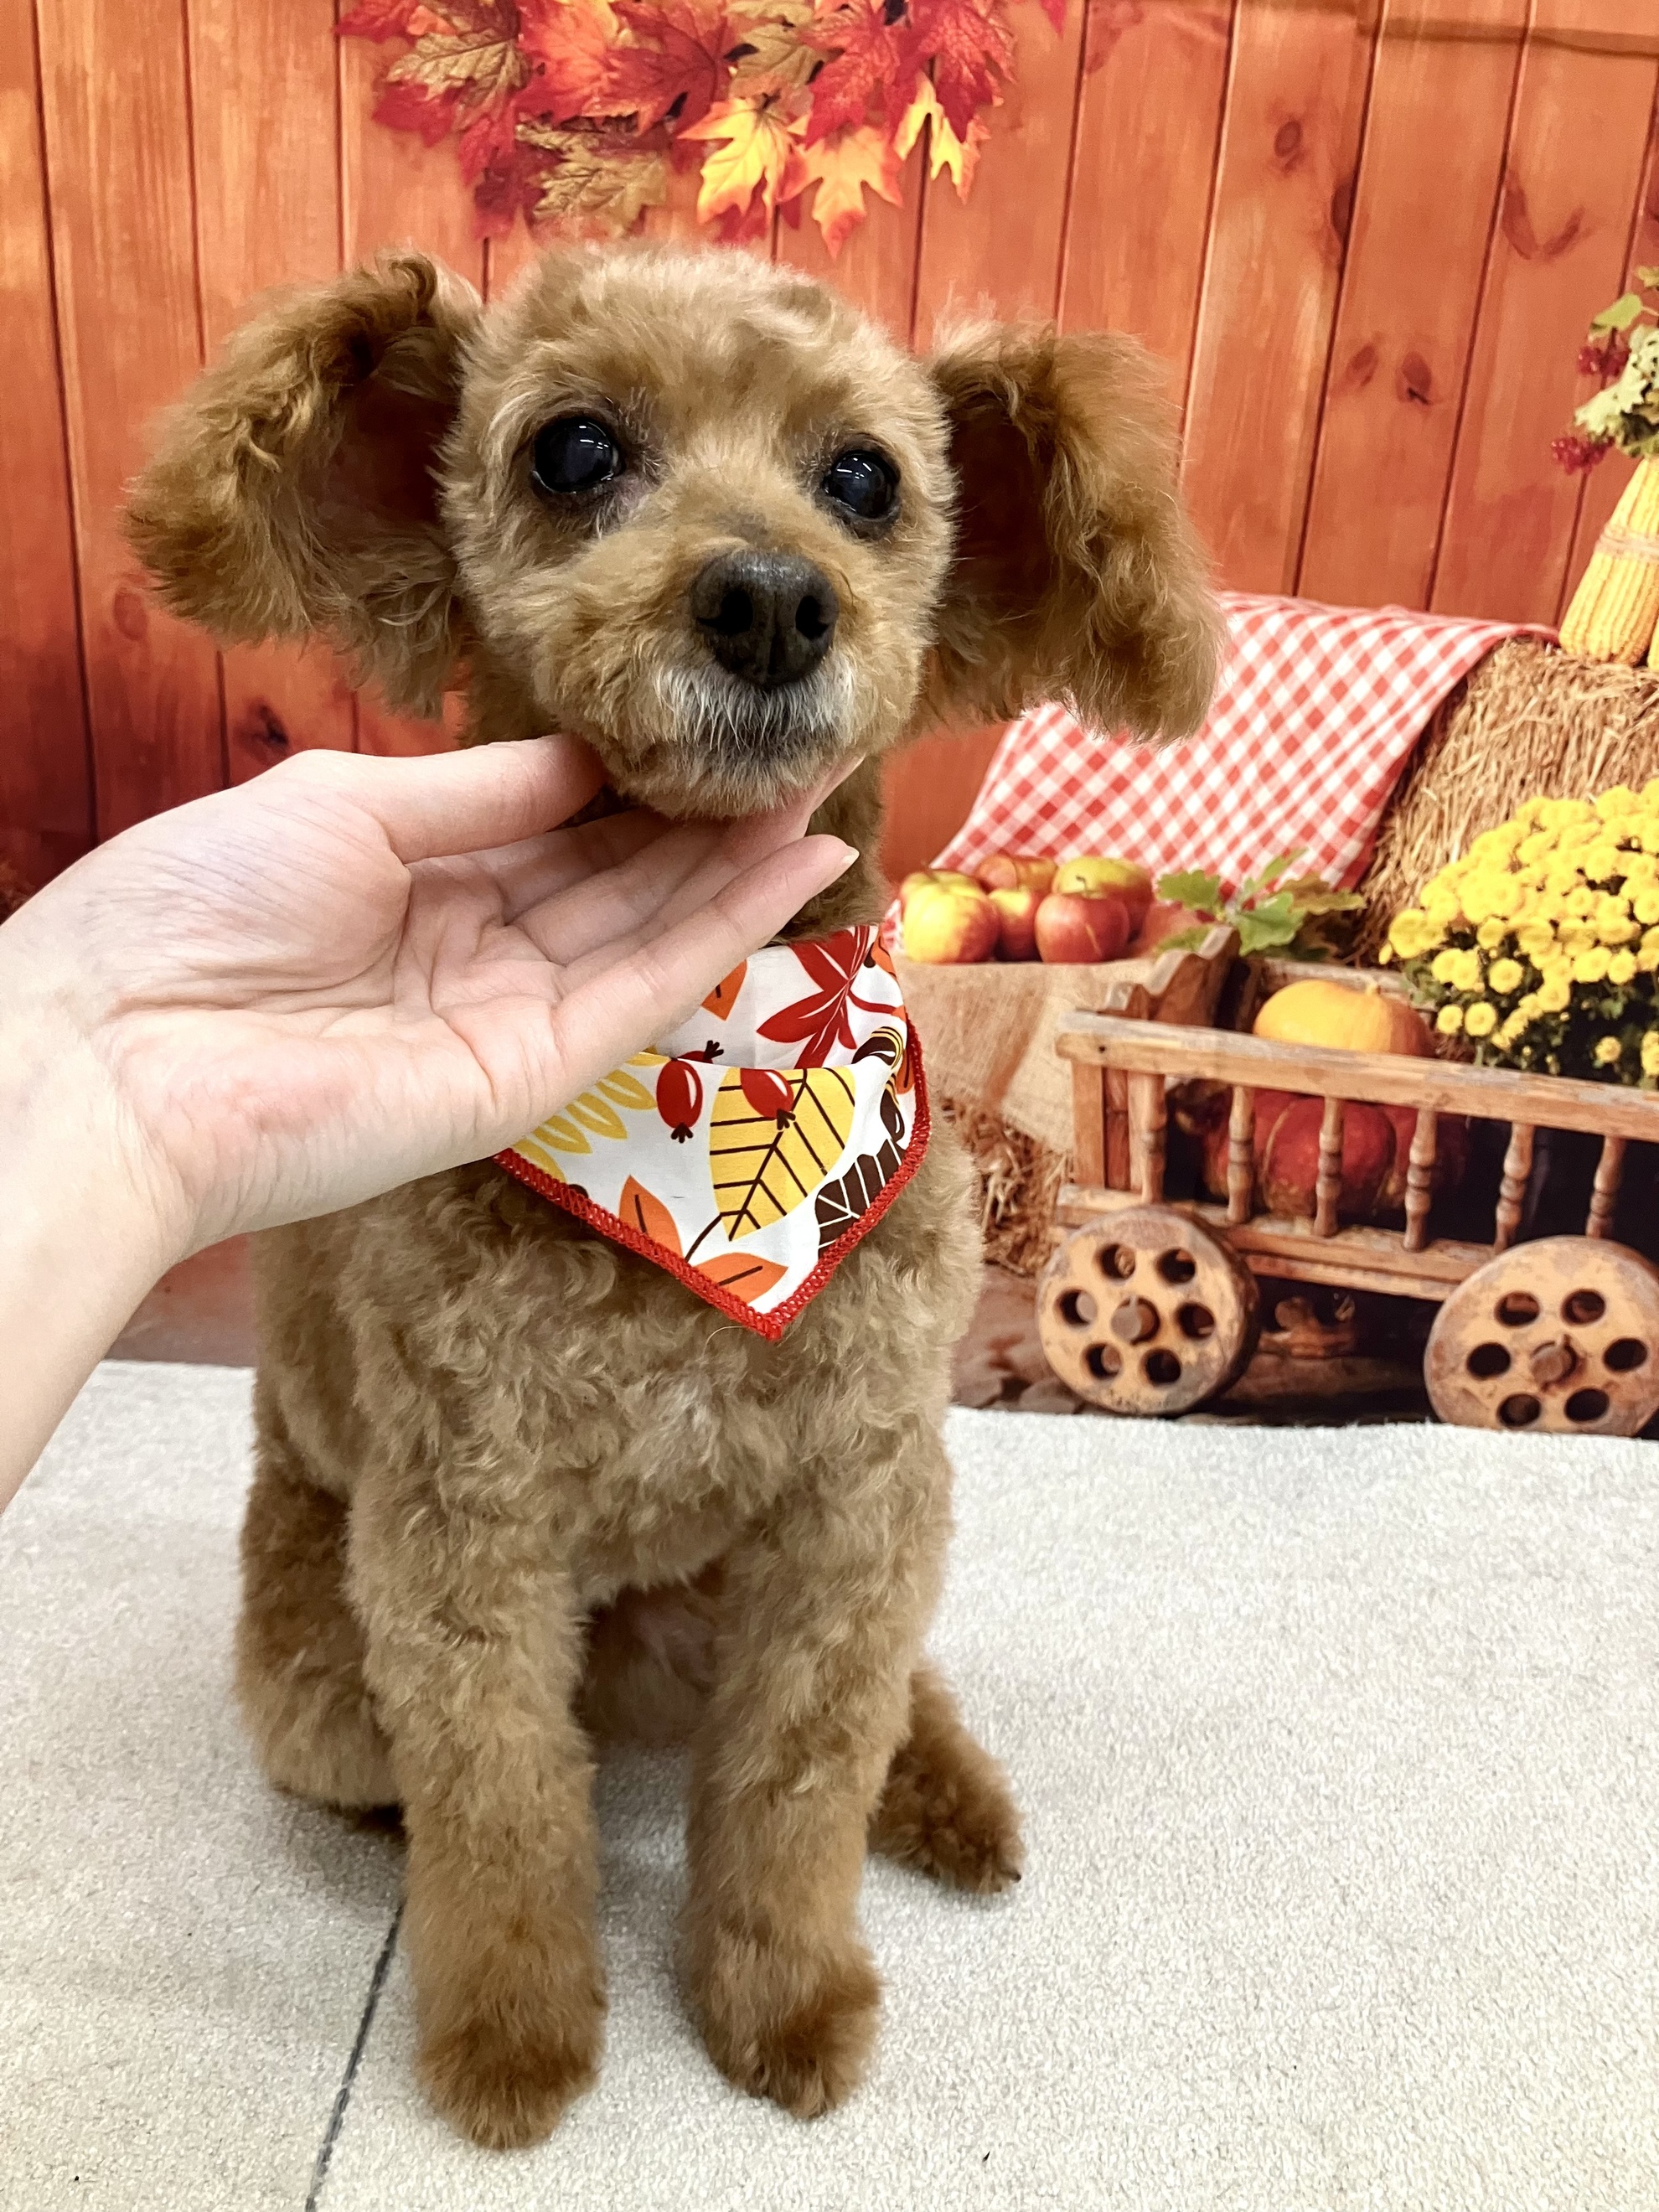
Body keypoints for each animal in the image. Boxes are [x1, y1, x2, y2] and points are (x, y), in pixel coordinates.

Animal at [126, 241, 1218, 2149]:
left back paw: (951, 1798)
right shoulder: (463, 1530)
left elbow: (799, 1786)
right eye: (573, 450)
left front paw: (786, 2006)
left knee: (896, 1698)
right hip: (319, 1661)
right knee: (379, 1762)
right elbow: (500, 1803)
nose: (773, 603)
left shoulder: (856, 1507)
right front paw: (510, 2044)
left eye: (863, 478)